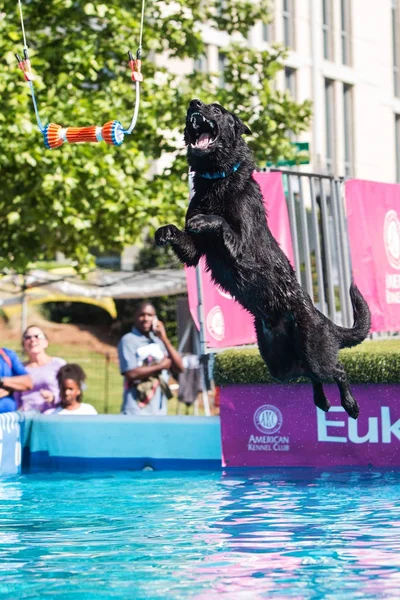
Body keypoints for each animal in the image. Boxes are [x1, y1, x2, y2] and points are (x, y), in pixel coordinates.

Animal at [154, 98, 372, 420]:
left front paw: (205, 220)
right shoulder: (194, 252)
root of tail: (325, 320)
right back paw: (322, 401)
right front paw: (165, 231)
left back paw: (351, 405)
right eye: (198, 104)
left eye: (216, 108)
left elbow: (220, 222)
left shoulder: (244, 249)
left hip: (314, 348)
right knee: (310, 374)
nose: (194, 103)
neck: (217, 179)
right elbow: (184, 239)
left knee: (337, 370)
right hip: (279, 364)